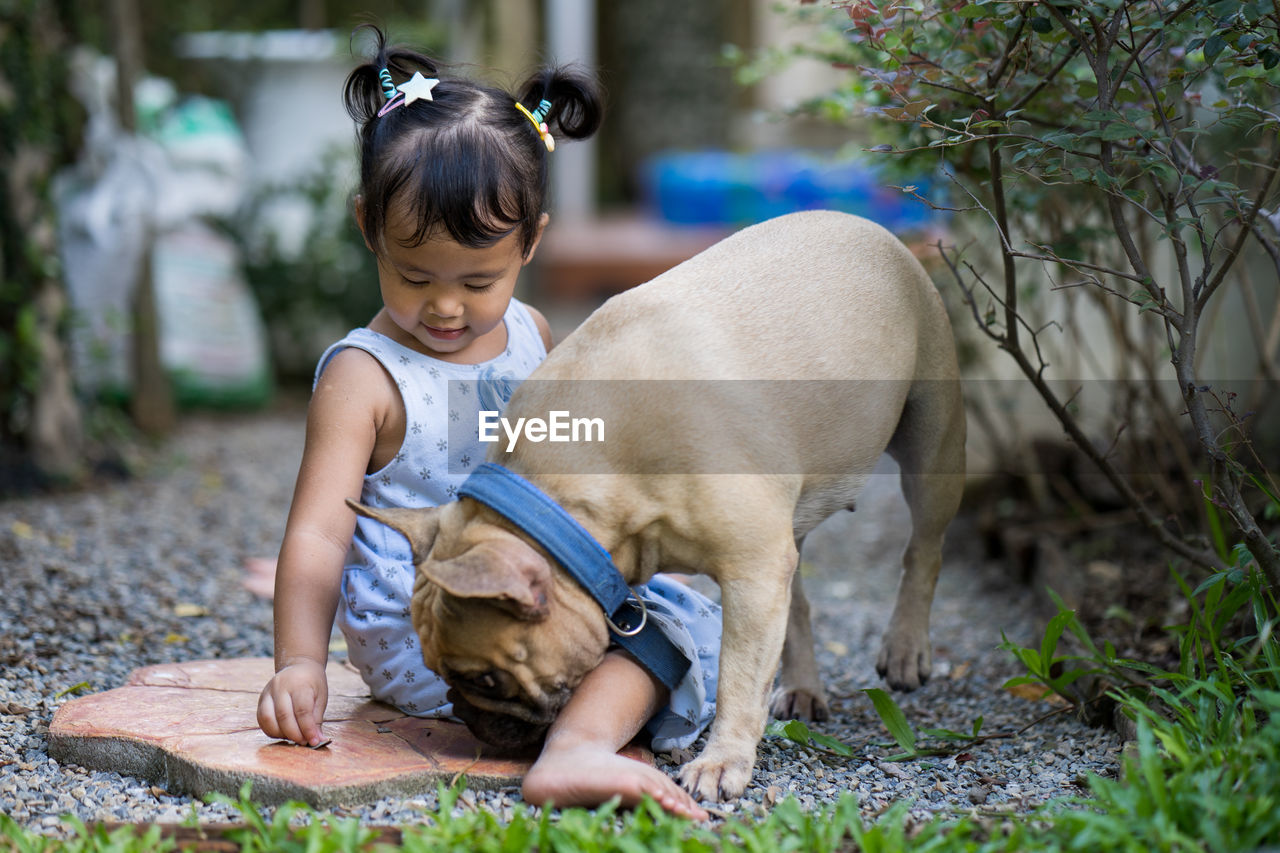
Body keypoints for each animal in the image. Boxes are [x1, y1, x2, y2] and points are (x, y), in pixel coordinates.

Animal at [350, 208, 962, 799]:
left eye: (483, 679)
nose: (465, 715)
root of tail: (866, 225)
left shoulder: (753, 569)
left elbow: (739, 676)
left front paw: (722, 762)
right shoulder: (760, 562)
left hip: (931, 443)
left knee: (926, 547)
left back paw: (906, 647)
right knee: (802, 603)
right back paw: (805, 687)